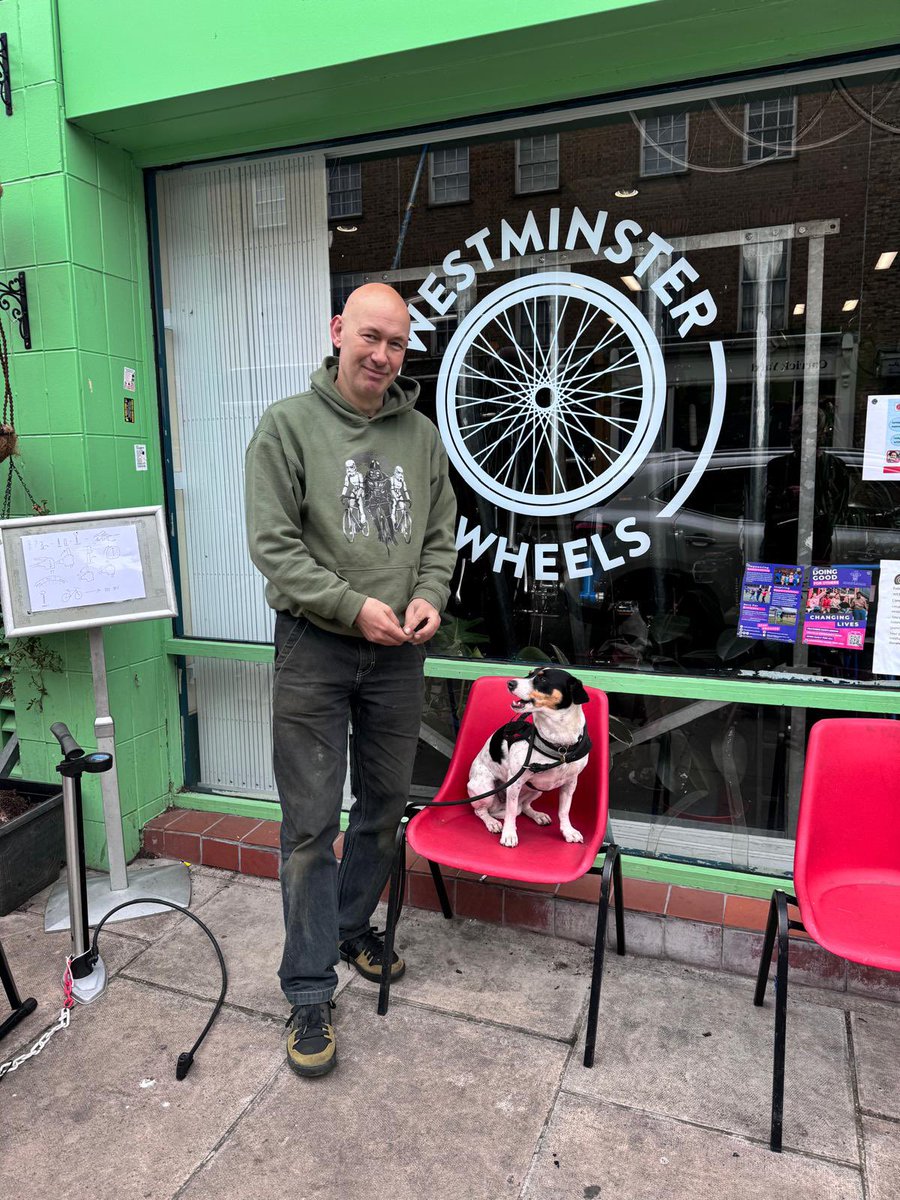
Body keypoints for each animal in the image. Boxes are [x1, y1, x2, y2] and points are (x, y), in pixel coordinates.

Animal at [472, 672, 592, 849]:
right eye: (529, 674)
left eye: (542, 679)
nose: (510, 683)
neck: (559, 745)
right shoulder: (514, 782)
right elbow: (510, 813)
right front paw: (509, 835)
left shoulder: (570, 783)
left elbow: (564, 811)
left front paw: (568, 831)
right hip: (485, 789)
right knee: (481, 811)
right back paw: (492, 822)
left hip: (537, 790)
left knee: (524, 806)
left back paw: (537, 815)